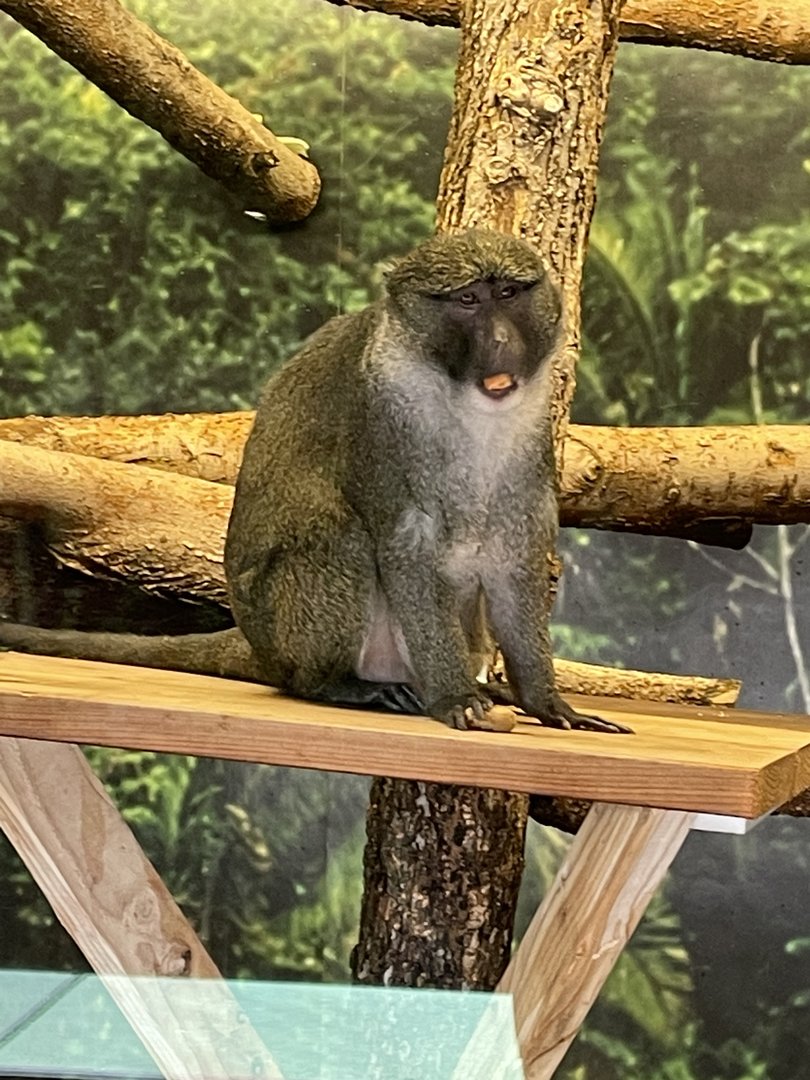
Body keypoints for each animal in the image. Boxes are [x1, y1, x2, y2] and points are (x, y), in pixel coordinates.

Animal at [0, 229, 630, 735]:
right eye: (467, 300)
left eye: (508, 295)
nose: (499, 340)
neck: (460, 400)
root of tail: (260, 646)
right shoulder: (381, 418)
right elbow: (405, 546)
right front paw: (454, 697)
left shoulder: (532, 437)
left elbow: (511, 556)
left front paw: (546, 702)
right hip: (293, 631)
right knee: (337, 537)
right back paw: (338, 683)